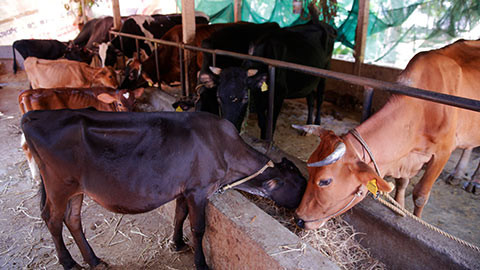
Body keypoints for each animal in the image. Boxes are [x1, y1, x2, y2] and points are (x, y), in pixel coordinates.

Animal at [204, 21, 336, 139]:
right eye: (218, 97)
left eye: (245, 98)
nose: (228, 127)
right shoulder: (258, 96)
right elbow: (262, 123)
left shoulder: (279, 95)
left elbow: (271, 125)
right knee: (311, 98)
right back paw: (308, 126)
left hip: (325, 72)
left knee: (320, 97)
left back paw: (317, 123)